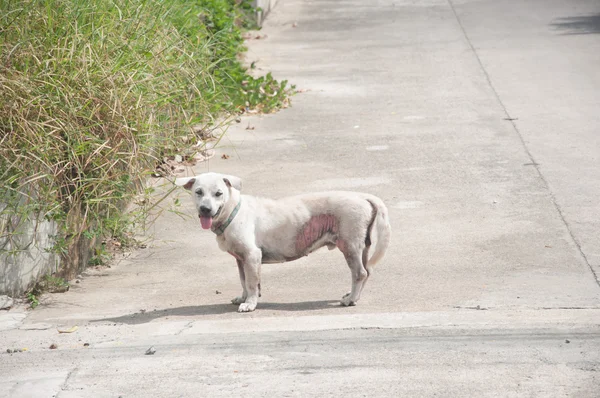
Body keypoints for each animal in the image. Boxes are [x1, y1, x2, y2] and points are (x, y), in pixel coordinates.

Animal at [176, 173, 392, 312]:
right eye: (198, 192)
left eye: (219, 194)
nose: (205, 209)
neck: (233, 211)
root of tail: (362, 196)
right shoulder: (241, 259)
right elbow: (243, 280)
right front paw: (243, 297)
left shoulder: (252, 256)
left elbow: (252, 283)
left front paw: (250, 304)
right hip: (362, 246)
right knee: (367, 272)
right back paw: (354, 297)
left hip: (350, 246)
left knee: (360, 273)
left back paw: (350, 300)